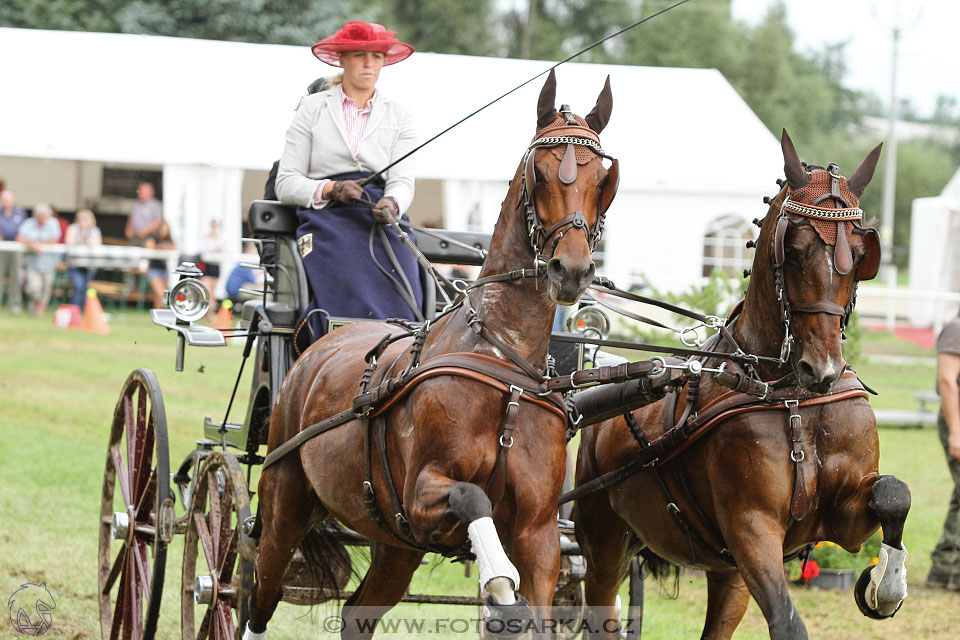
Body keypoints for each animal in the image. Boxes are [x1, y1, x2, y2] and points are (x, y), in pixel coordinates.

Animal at [244, 67, 620, 636]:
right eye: (539, 172)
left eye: (603, 178)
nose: (571, 270)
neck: (501, 360)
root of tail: (318, 344)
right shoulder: (422, 495)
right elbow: (472, 496)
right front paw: (499, 586)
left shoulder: (538, 531)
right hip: (285, 504)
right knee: (258, 595)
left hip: (394, 542)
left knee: (357, 613)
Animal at [572, 131, 912, 640]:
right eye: (794, 249)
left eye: (859, 255)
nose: (823, 369)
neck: (793, 399)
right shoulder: (750, 527)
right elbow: (787, 622)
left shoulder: (843, 518)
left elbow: (893, 493)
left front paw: (883, 585)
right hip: (603, 542)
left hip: (726, 571)